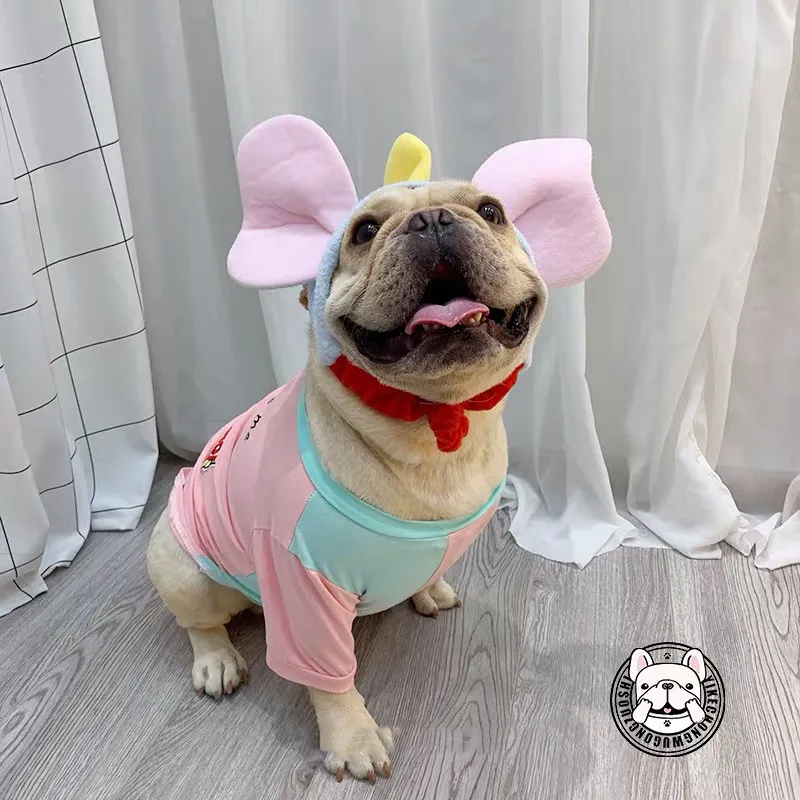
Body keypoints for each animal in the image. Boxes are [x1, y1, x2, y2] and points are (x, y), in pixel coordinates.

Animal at [146, 115, 611, 782]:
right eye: (365, 231)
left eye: (491, 210)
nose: (434, 220)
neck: (434, 419)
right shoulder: (304, 587)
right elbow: (331, 681)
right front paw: (354, 740)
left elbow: (427, 570)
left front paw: (427, 590)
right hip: (184, 567)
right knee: (201, 622)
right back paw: (217, 661)